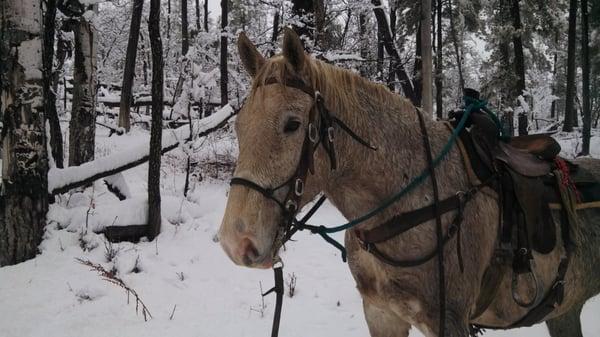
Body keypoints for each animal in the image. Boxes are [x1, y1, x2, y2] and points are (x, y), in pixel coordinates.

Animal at [218, 28, 600, 336]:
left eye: (293, 124)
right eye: (238, 126)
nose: (236, 243)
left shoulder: (448, 321)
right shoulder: (381, 314)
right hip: (563, 312)